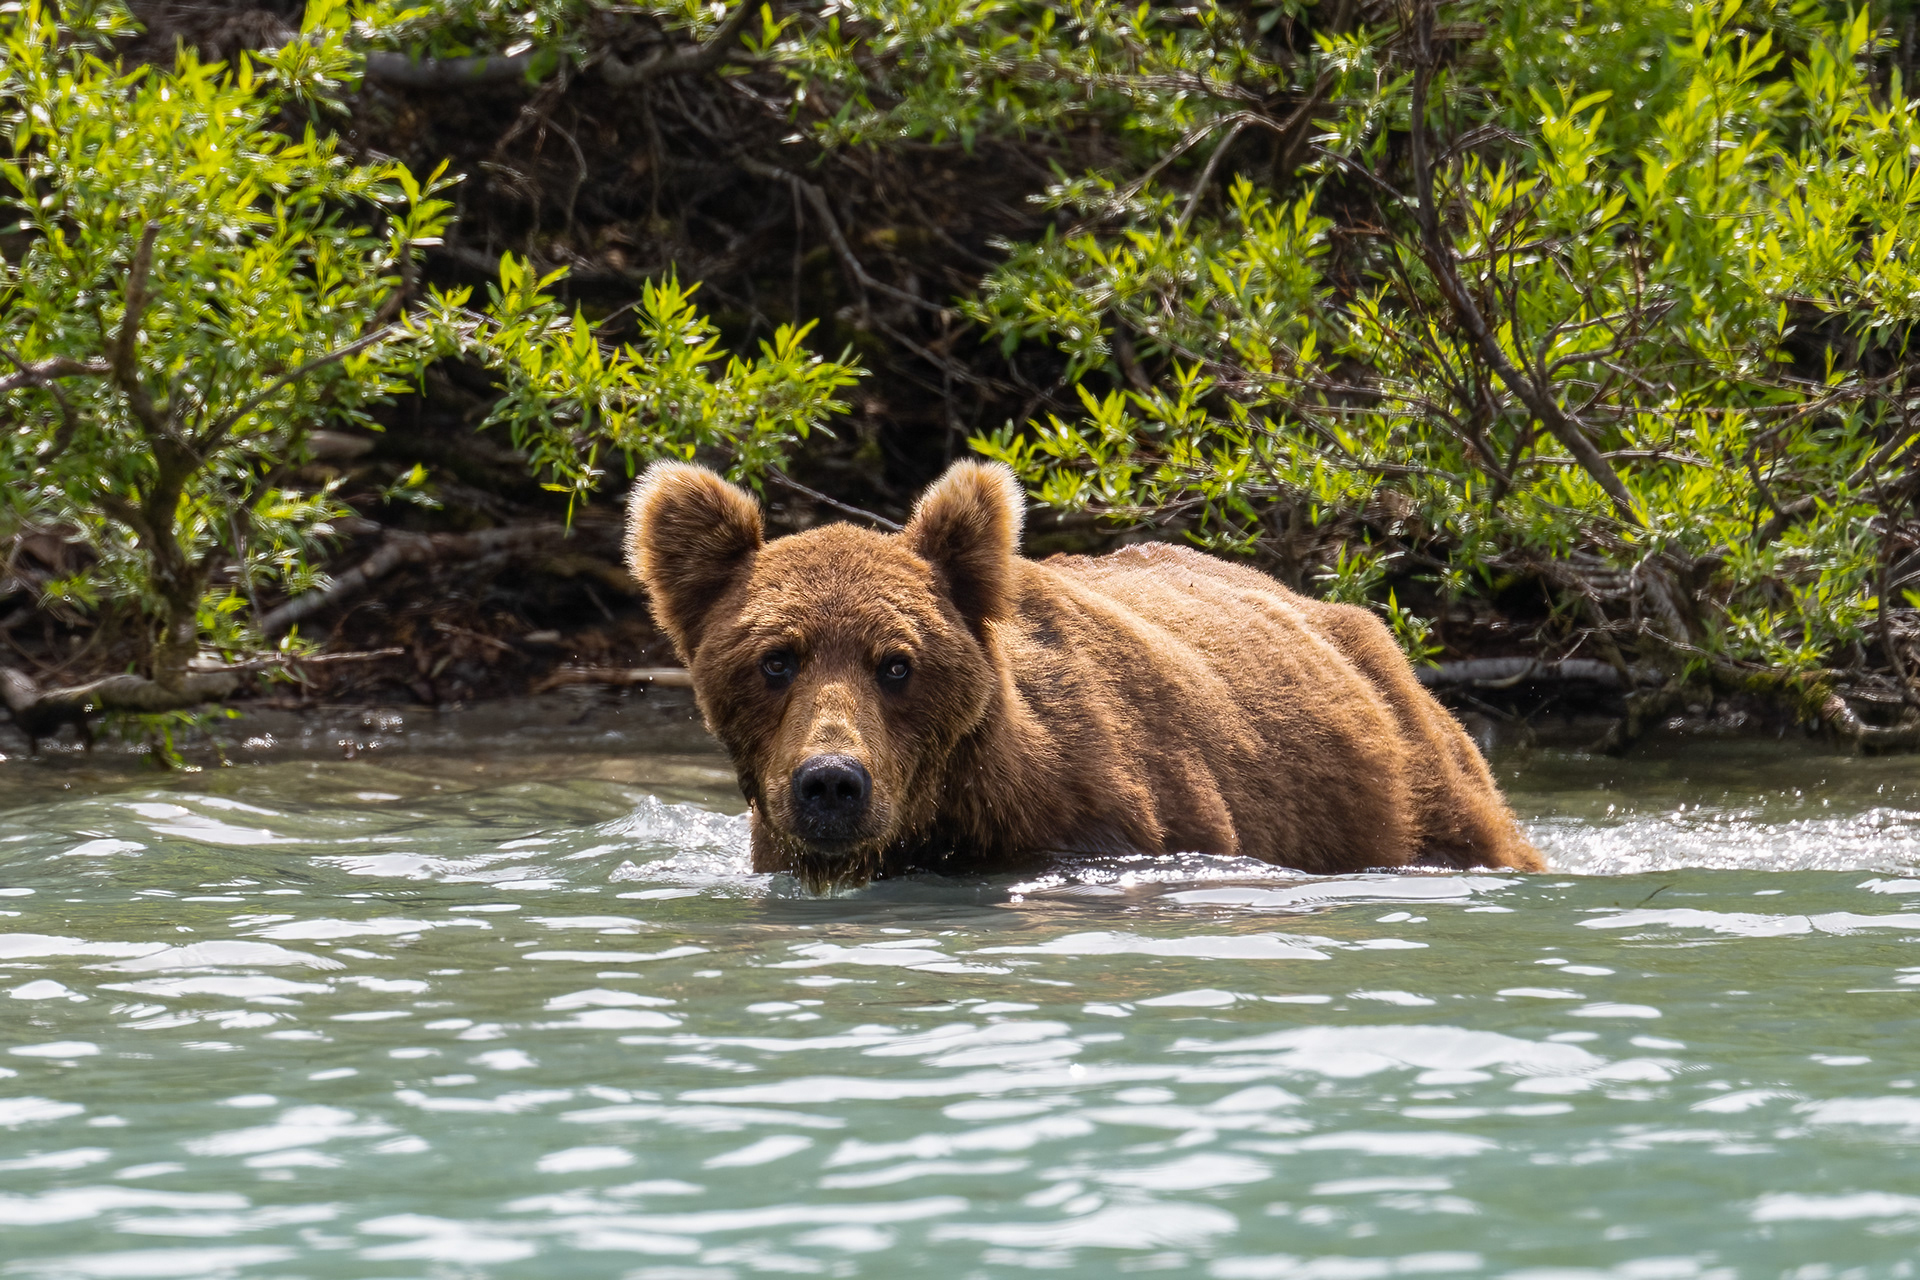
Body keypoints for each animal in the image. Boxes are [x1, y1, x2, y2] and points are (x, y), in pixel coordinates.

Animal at [628, 457, 1542, 891]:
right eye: (775, 659)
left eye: (896, 664)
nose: (831, 783)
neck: (955, 807)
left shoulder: (1119, 822)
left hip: (1409, 789)